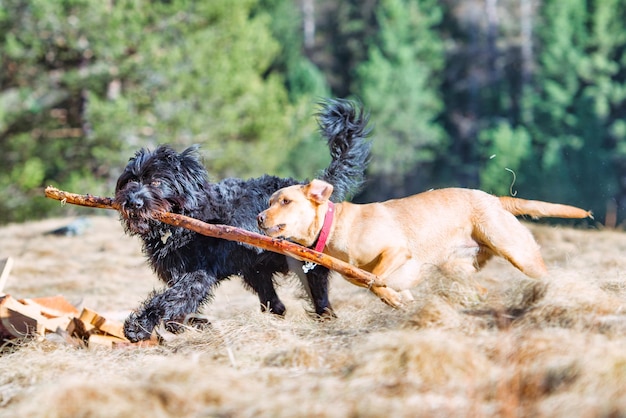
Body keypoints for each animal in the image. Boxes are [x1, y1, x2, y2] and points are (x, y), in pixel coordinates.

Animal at [113, 99, 370, 342]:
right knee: (275, 304)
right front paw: (193, 324)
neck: (179, 225)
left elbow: (171, 298)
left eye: (156, 182)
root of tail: (313, 192)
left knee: (319, 297)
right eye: (130, 181)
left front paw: (139, 326)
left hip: (309, 264)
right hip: (256, 270)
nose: (132, 202)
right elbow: (179, 305)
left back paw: (325, 319)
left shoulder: (198, 273)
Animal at [255, 180, 588, 306]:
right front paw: (397, 301)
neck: (334, 225)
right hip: (457, 269)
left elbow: (375, 279)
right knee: (480, 290)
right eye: (269, 201)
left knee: (543, 273)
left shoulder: (396, 250)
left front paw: (392, 297)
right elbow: (376, 285)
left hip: (518, 252)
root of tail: (495, 199)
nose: (258, 218)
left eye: (285, 201)